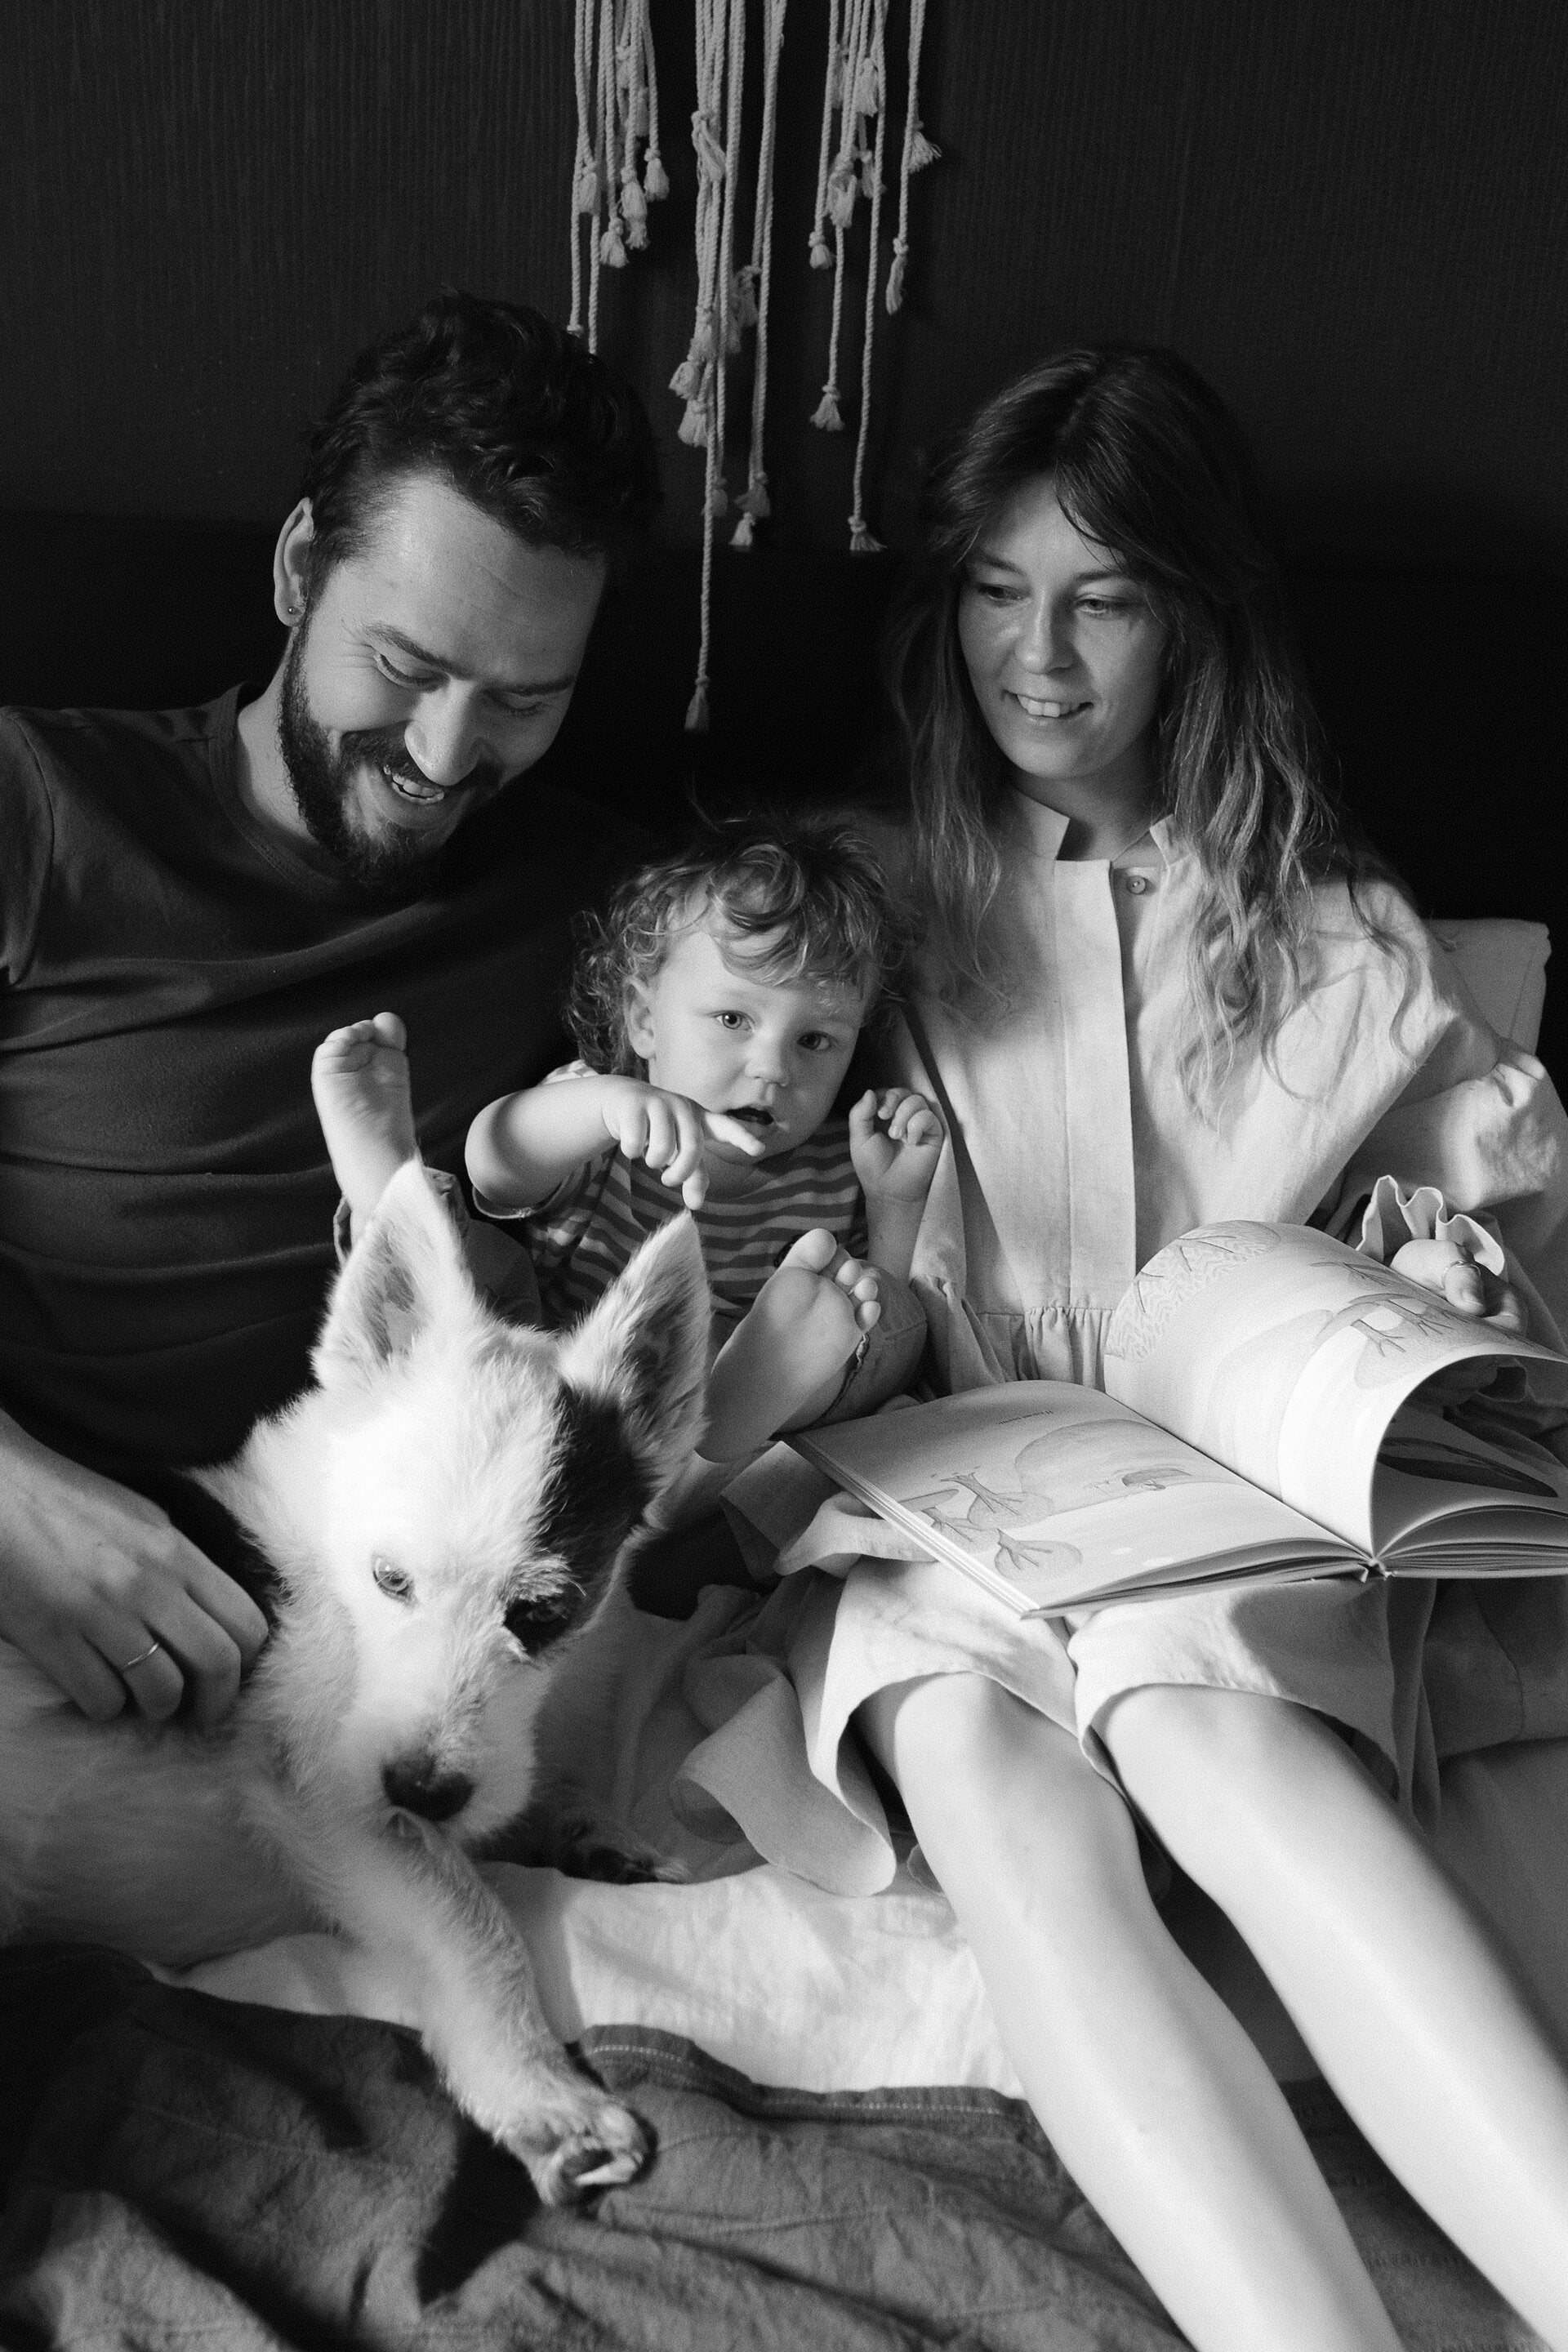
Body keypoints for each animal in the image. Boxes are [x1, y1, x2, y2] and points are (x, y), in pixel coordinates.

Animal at [0, 1161, 711, 2204]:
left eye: (543, 1611)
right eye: (391, 1580)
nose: (423, 1786)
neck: (329, 1566)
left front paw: (589, 1828)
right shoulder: (329, 1794)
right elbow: (473, 1923)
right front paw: (547, 2098)